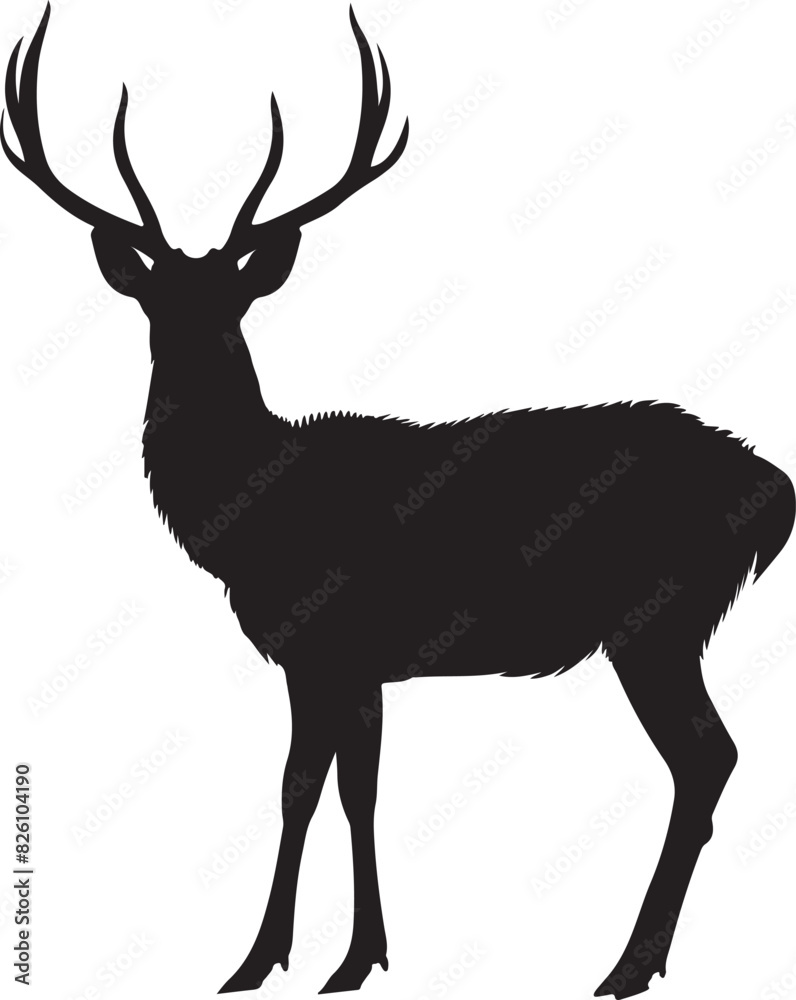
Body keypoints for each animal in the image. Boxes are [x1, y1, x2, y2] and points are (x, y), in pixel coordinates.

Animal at [3, 4, 794, 997]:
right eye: (155, 301)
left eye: (233, 305)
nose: (189, 370)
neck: (249, 519)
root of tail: (774, 488)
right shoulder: (334, 659)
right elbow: (320, 788)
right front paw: (288, 958)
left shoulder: (337, 643)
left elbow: (337, 789)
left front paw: (325, 959)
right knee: (710, 760)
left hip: (658, 620)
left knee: (708, 759)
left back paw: (625, 965)